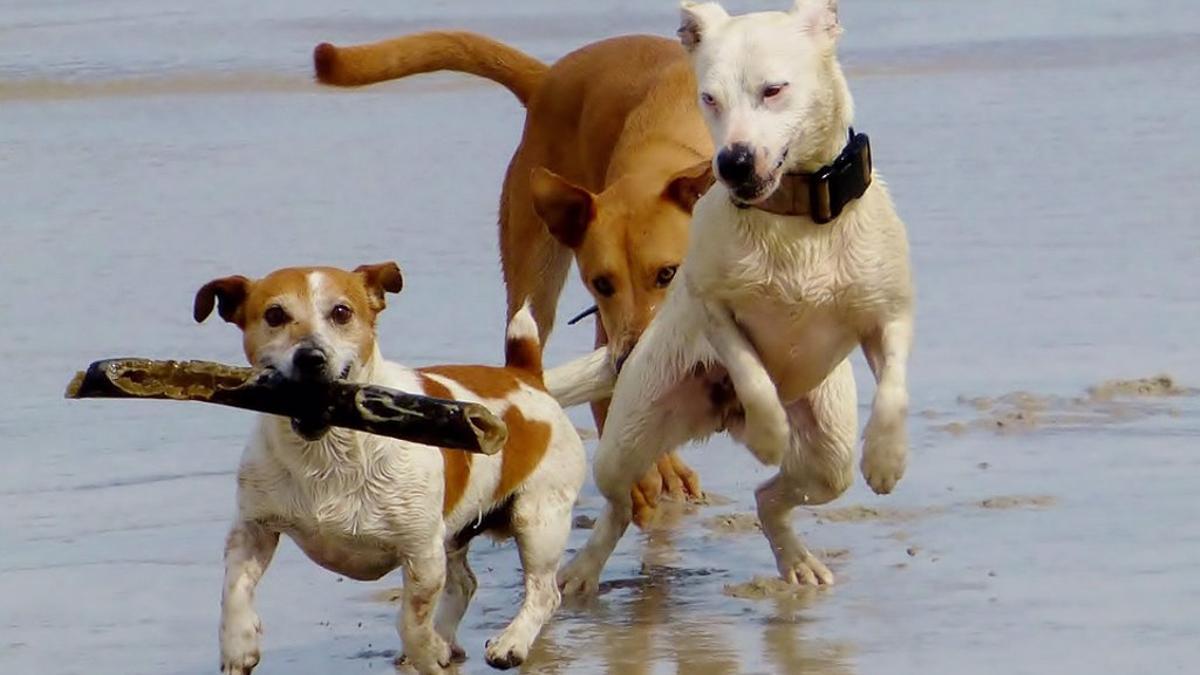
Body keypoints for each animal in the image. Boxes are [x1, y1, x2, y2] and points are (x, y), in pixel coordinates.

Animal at [193, 260, 585, 667]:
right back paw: (447, 638)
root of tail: (524, 375)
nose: (311, 357)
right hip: (456, 533)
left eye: (341, 312)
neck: (327, 452)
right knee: (464, 584)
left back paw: (511, 642)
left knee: (543, 592)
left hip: (538, 518)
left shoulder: (422, 554)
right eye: (274, 315)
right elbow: (233, 589)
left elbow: (411, 624)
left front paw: (427, 652)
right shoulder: (253, 529)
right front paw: (239, 643)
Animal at [549, 0, 907, 588]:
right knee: (620, 504)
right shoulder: (715, 311)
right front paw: (768, 431)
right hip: (627, 440)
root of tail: (715, 418)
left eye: (774, 90)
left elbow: (894, 387)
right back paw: (582, 571)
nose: (733, 161)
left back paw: (796, 559)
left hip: (827, 459)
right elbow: (753, 376)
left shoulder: (891, 315)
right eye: (709, 98)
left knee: (772, 498)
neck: (793, 220)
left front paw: (886, 458)